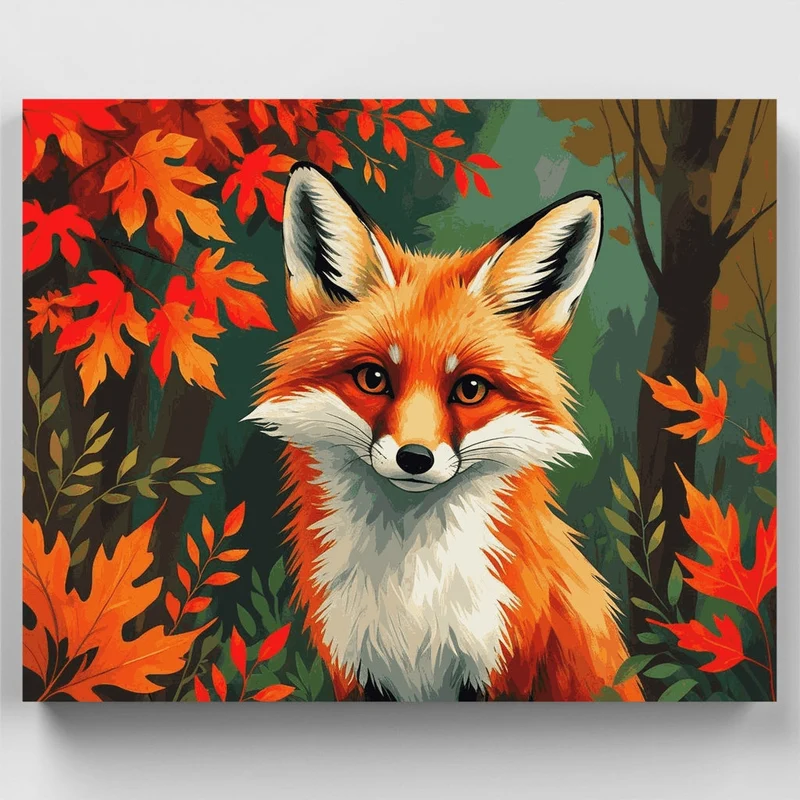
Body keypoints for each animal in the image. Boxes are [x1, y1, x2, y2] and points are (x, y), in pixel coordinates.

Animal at [245, 161, 644, 702]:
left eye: (470, 388)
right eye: (373, 378)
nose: (415, 458)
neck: (411, 593)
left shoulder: (500, 667)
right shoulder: (359, 672)